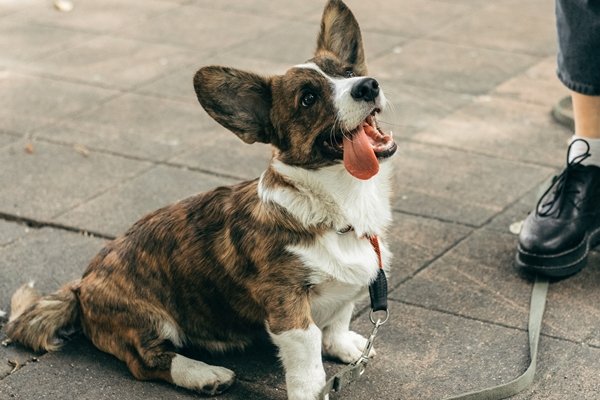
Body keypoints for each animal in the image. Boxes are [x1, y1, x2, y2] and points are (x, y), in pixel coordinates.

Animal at [7, 1, 398, 398]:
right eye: (308, 98)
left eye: (348, 72)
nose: (368, 85)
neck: (339, 207)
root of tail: (81, 287)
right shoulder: (287, 305)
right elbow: (308, 357)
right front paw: (313, 389)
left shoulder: (346, 292)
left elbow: (338, 320)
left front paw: (345, 347)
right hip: (151, 318)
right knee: (146, 361)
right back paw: (204, 374)